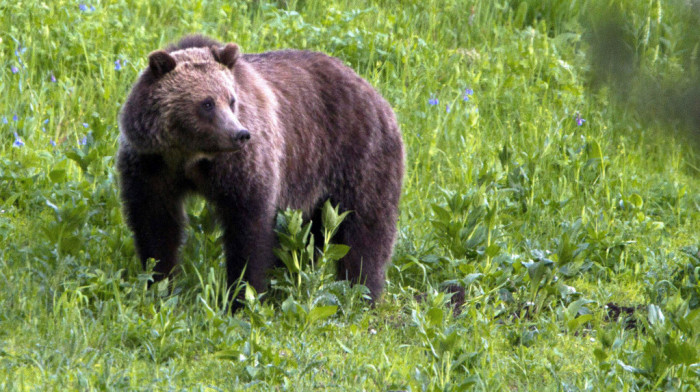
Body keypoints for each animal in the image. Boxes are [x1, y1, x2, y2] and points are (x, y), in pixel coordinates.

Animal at [117, 35, 404, 304]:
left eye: (231, 100)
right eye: (207, 103)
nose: (240, 134)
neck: (190, 156)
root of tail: (374, 92)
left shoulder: (242, 167)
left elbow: (249, 228)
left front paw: (243, 295)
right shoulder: (151, 165)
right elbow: (156, 224)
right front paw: (159, 284)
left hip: (357, 157)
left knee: (365, 230)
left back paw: (362, 293)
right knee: (309, 237)